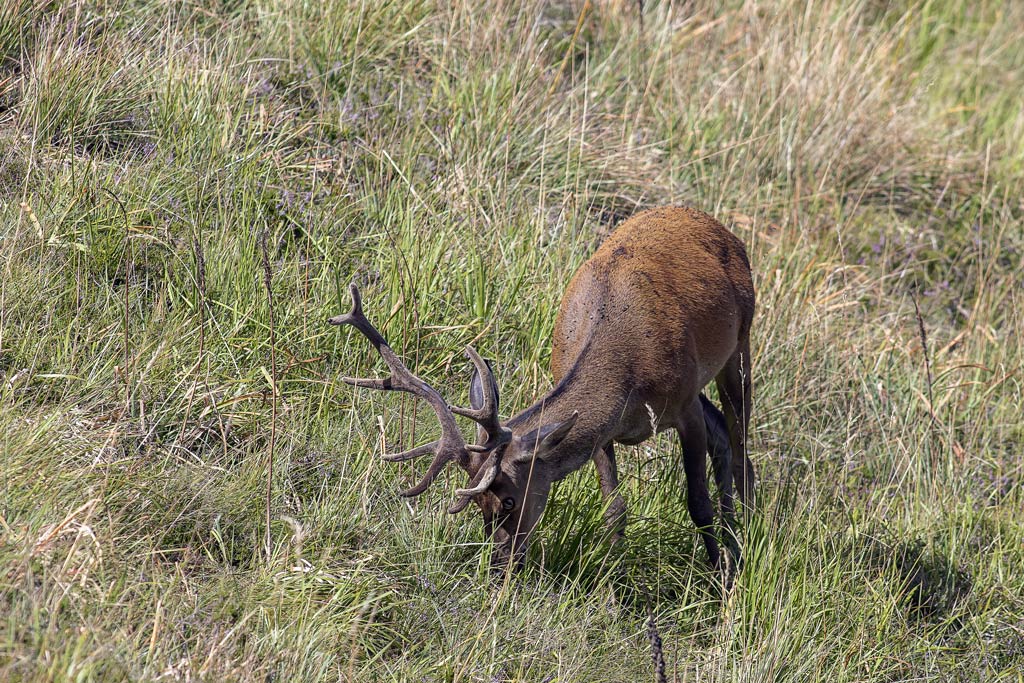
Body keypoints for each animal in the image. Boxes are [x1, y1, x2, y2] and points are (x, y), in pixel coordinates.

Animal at [330, 206, 756, 573]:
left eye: (508, 500)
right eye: (477, 502)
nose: (499, 563)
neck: (626, 374)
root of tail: (711, 221)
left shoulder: (683, 405)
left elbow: (698, 503)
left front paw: (720, 579)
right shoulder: (605, 432)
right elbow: (615, 508)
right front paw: (614, 581)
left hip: (741, 341)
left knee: (739, 441)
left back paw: (749, 533)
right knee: (724, 432)